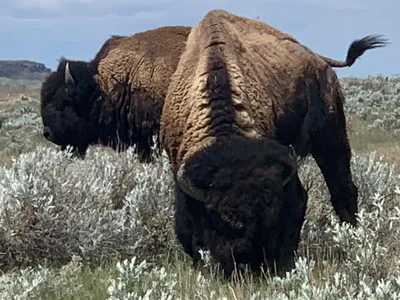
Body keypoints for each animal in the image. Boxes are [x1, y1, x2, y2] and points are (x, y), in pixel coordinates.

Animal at [159, 9, 388, 276]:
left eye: (270, 214)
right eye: (218, 218)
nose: (248, 261)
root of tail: (317, 59)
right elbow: (184, 223)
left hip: (330, 138)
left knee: (341, 188)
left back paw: (351, 236)